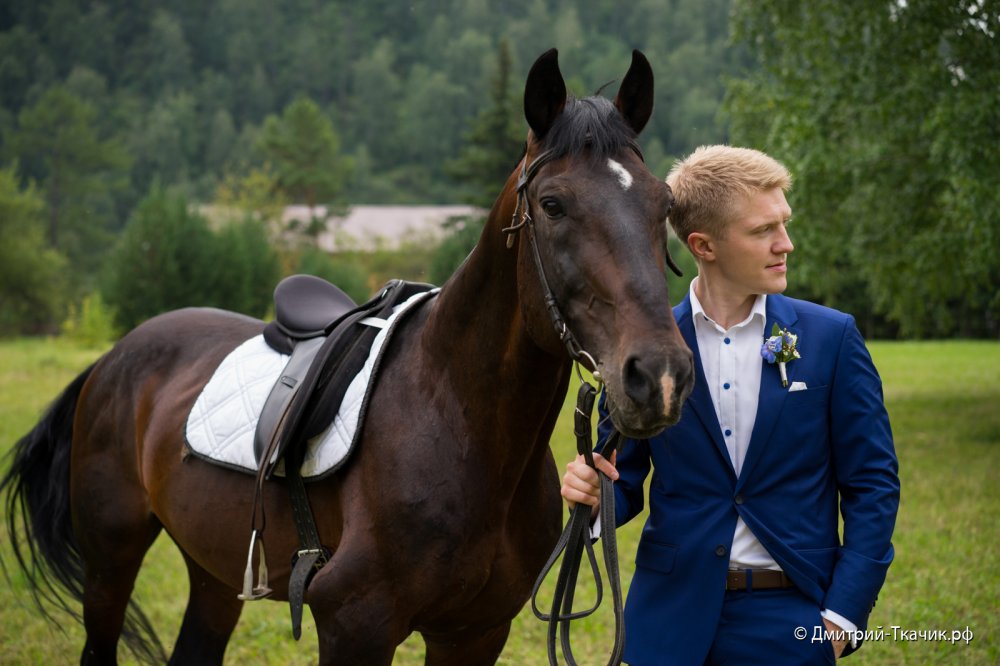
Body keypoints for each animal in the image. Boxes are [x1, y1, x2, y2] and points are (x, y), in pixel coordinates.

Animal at [1, 48, 694, 665]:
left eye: (664, 205)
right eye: (552, 205)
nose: (658, 375)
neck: (457, 422)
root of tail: (114, 359)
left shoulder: (473, 635)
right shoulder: (354, 626)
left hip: (214, 570)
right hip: (110, 560)